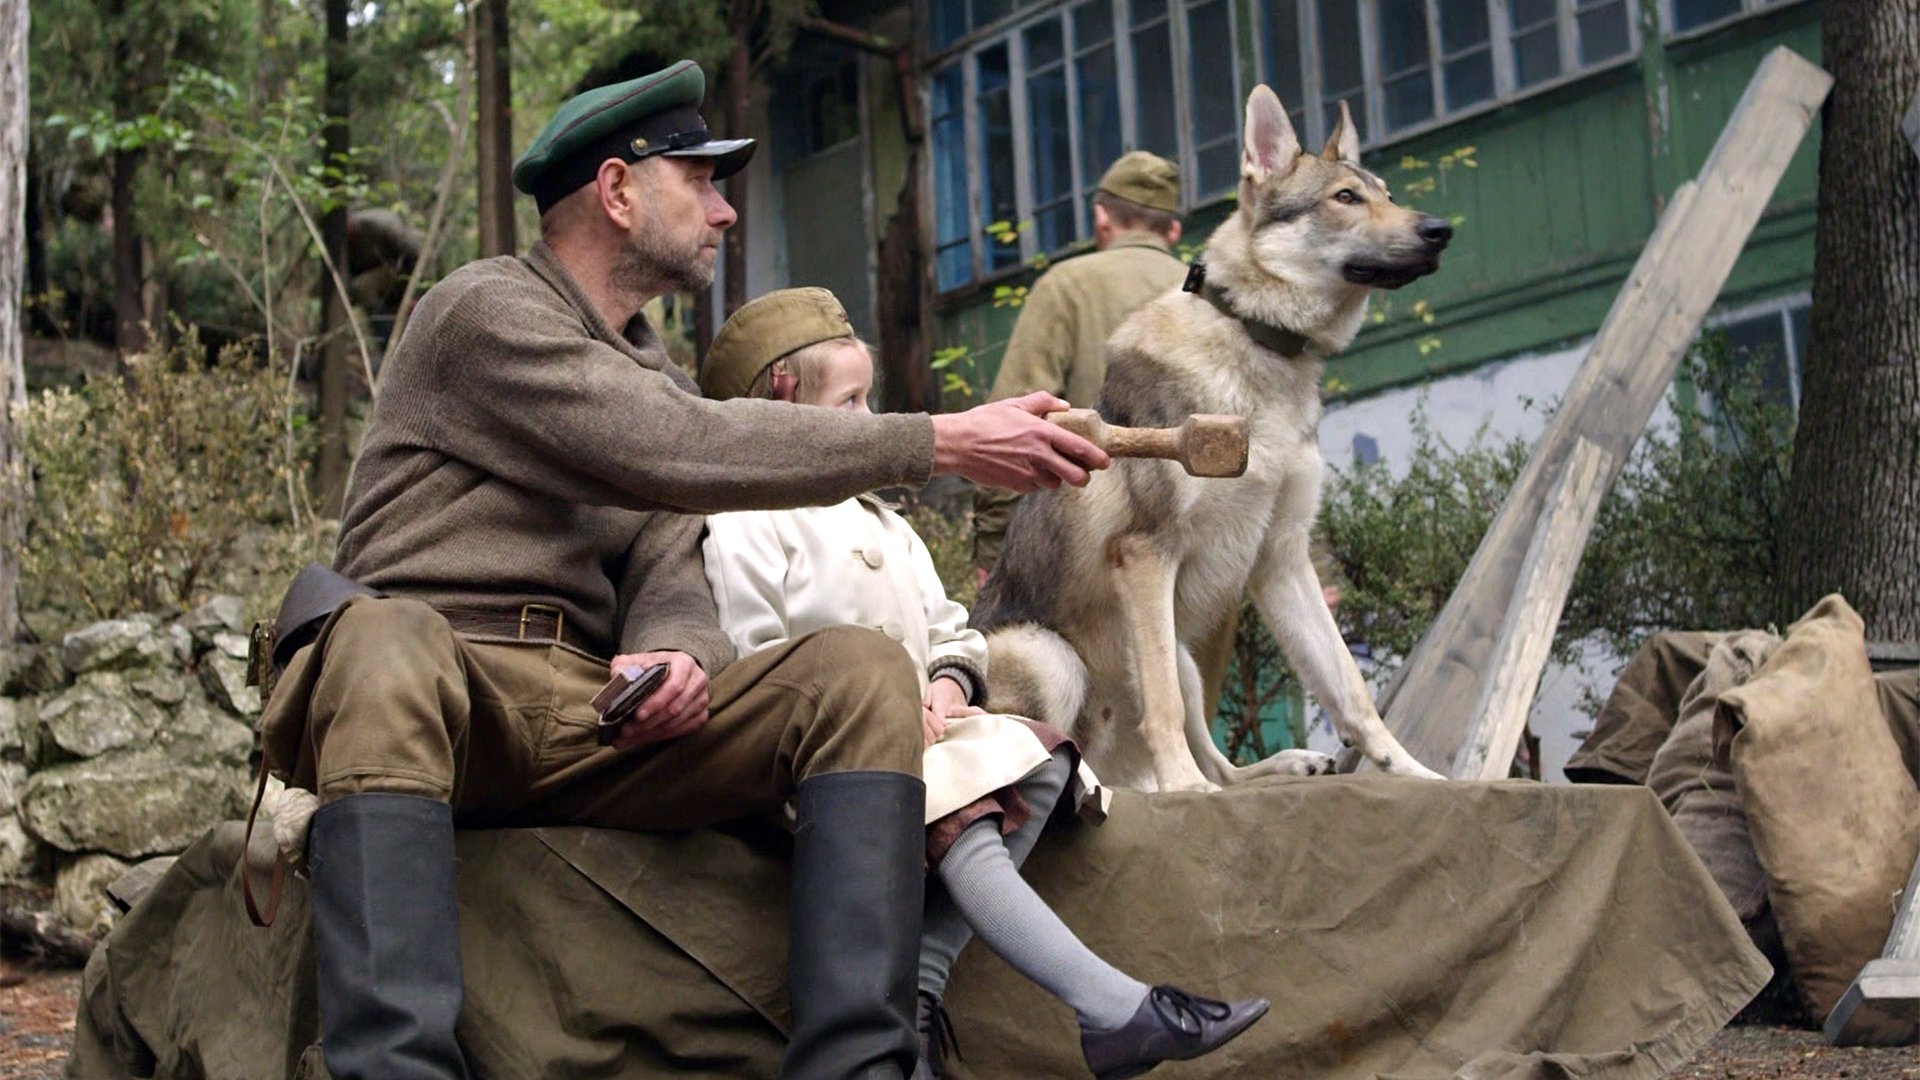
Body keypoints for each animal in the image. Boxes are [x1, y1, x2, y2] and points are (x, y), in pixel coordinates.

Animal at [975, 84, 1451, 787]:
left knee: (1226, 770)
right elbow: (1164, 710)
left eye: (1387, 193)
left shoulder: (1282, 557)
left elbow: (1353, 692)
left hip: (1180, 650)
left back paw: (1288, 764)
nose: (1440, 230)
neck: (1261, 345)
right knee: (1065, 750)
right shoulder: (1146, 554)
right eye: (1344, 197)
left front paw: (1418, 775)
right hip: (1056, 654)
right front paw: (1182, 788)